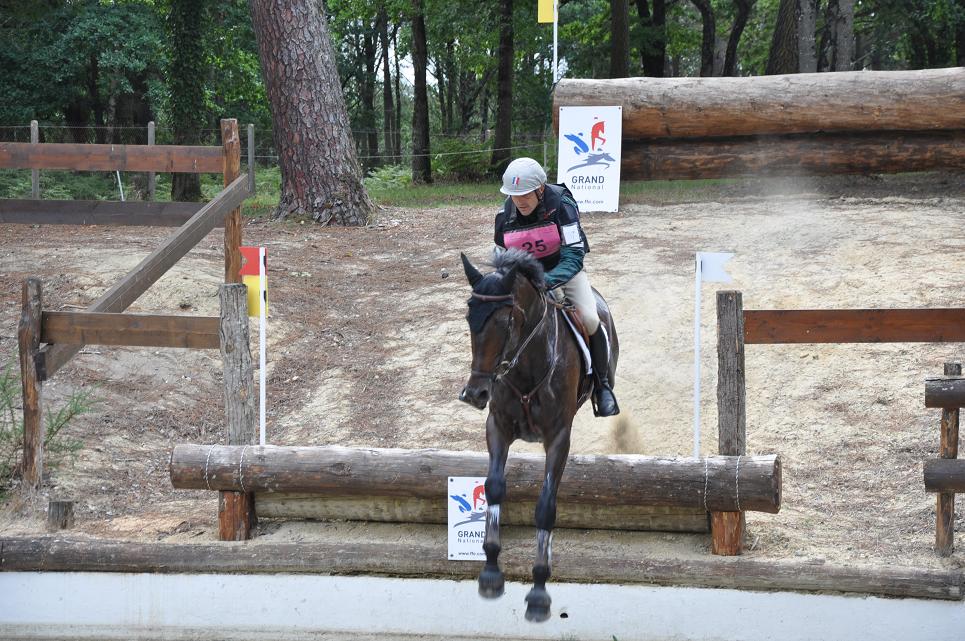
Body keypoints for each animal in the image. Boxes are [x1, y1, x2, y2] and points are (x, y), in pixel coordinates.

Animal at [458, 248, 620, 624]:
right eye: (469, 318)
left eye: (505, 323)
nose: (475, 394)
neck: (525, 364)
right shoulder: (498, 427)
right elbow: (494, 488)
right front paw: (490, 573)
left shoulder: (558, 437)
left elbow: (545, 507)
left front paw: (539, 593)